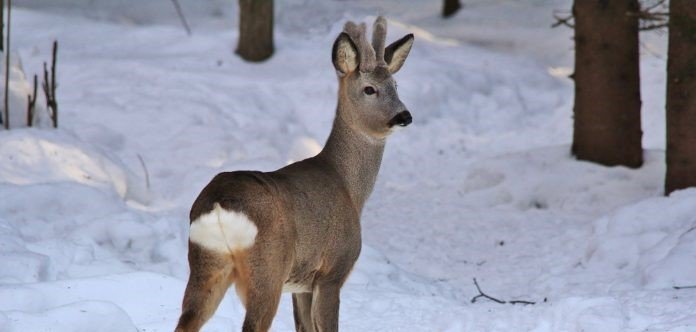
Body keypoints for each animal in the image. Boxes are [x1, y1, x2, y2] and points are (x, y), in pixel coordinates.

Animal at [174, 16, 414, 332]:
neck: (350, 188)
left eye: (396, 84)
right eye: (369, 89)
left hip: (207, 262)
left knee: (186, 320)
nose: (404, 116)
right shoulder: (332, 271)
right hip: (268, 267)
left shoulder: (302, 284)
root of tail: (218, 205)